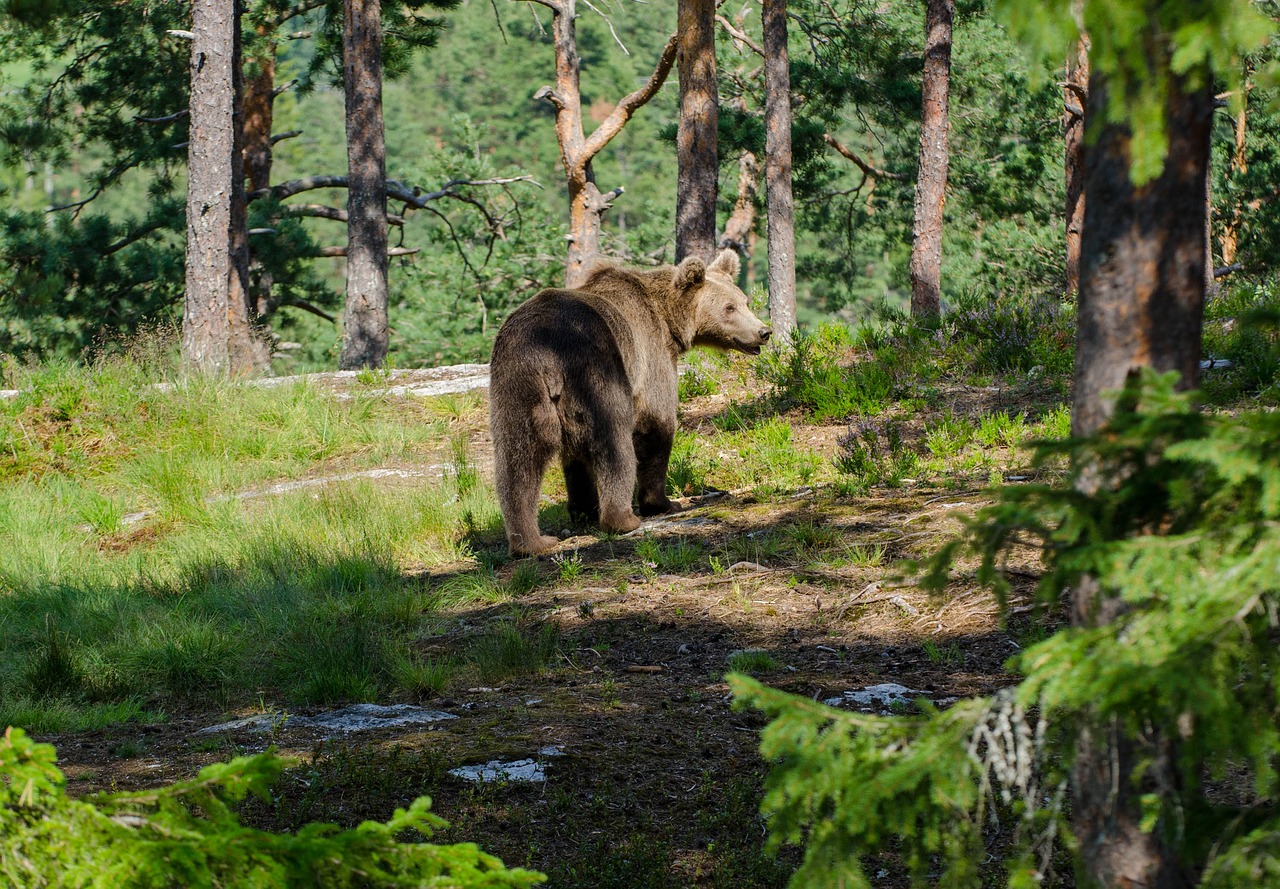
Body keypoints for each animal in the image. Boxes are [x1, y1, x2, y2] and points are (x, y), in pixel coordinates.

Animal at [488, 250, 768, 552]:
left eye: (745, 302)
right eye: (729, 308)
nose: (764, 331)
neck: (668, 319)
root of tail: (546, 351)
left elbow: (574, 460)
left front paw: (584, 508)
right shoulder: (651, 352)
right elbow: (656, 422)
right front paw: (663, 502)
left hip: (516, 381)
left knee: (518, 459)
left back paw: (530, 541)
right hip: (596, 366)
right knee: (613, 441)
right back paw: (622, 519)